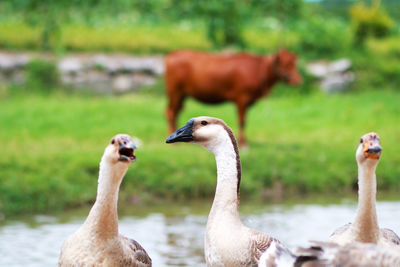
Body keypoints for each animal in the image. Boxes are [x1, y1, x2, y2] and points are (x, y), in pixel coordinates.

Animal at [165, 49, 300, 148]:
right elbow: (242, 120)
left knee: (176, 111)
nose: (298, 80)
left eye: (294, 63)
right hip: (175, 91)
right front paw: (244, 143)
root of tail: (172, 54)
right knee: (170, 112)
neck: (258, 69)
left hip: (181, 94)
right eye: (286, 64)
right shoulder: (242, 99)